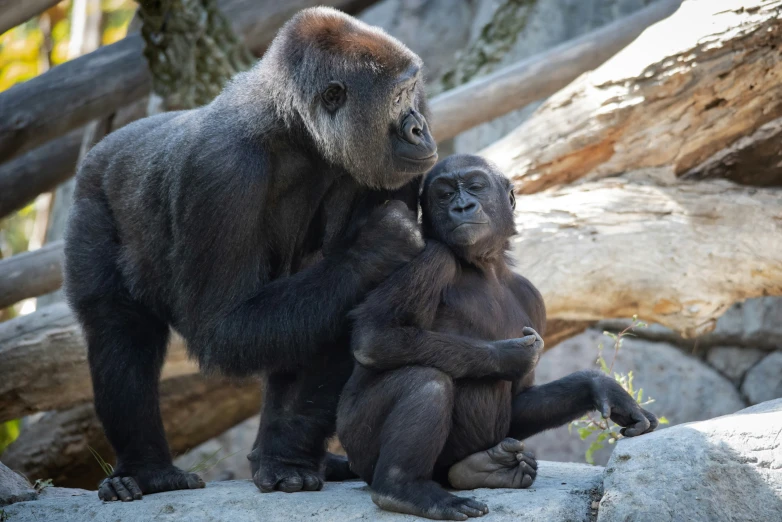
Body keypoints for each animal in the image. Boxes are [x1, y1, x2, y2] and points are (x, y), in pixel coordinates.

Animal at [64, 5, 438, 500]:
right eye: (398, 98)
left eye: (414, 92)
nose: (421, 127)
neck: (293, 126)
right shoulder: (220, 170)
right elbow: (223, 327)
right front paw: (380, 245)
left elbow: (355, 312)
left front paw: (285, 458)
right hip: (92, 198)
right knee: (119, 331)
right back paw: (148, 469)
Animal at [338, 152, 660, 516]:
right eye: (444, 195)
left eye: (476, 186)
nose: (462, 206)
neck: (485, 266)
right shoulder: (432, 257)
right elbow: (375, 336)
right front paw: (512, 355)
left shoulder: (533, 297)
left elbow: (520, 399)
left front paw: (598, 386)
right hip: (357, 450)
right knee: (426, 380)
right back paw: (402, 488)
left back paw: (487, 468)